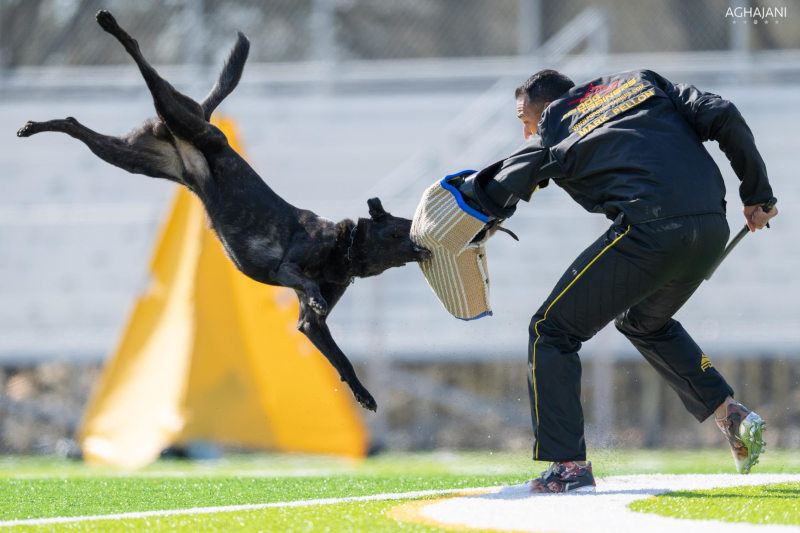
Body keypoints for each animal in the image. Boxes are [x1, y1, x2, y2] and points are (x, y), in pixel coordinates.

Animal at [17, 11, 432, 412]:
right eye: (402, 230)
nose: (424, 246)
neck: (345, 245)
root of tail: (204, 120)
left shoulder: (311, 325)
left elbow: (341, 359)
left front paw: (362, 393)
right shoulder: (287, 268)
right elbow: (308, 284)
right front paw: (316, 297)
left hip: (133, 157)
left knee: (76, 124)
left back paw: (36, 125)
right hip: (177, 118)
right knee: (143, 63)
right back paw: (107, 25)